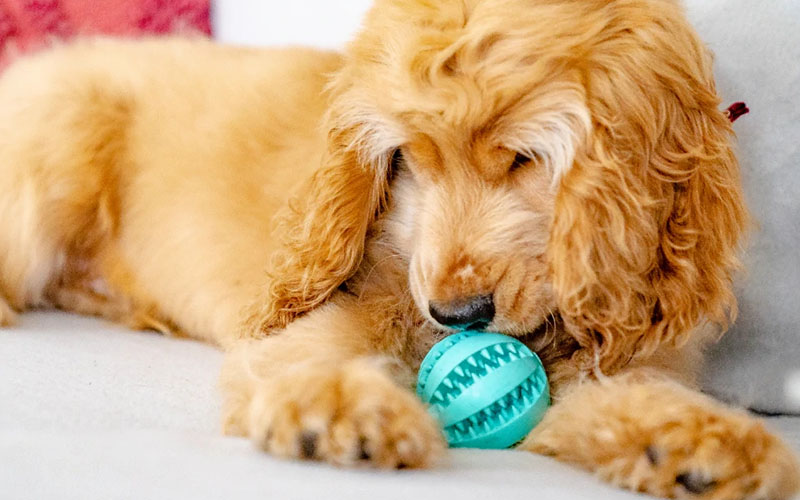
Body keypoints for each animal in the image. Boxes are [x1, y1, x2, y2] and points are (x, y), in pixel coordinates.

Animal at [0, 0, 796, 500]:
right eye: (410, 158)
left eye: (523, 158)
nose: (457, 315)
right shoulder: (318, 321)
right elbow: (310, 357)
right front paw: (340, 405)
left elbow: (620, 397)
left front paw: (703, 441)